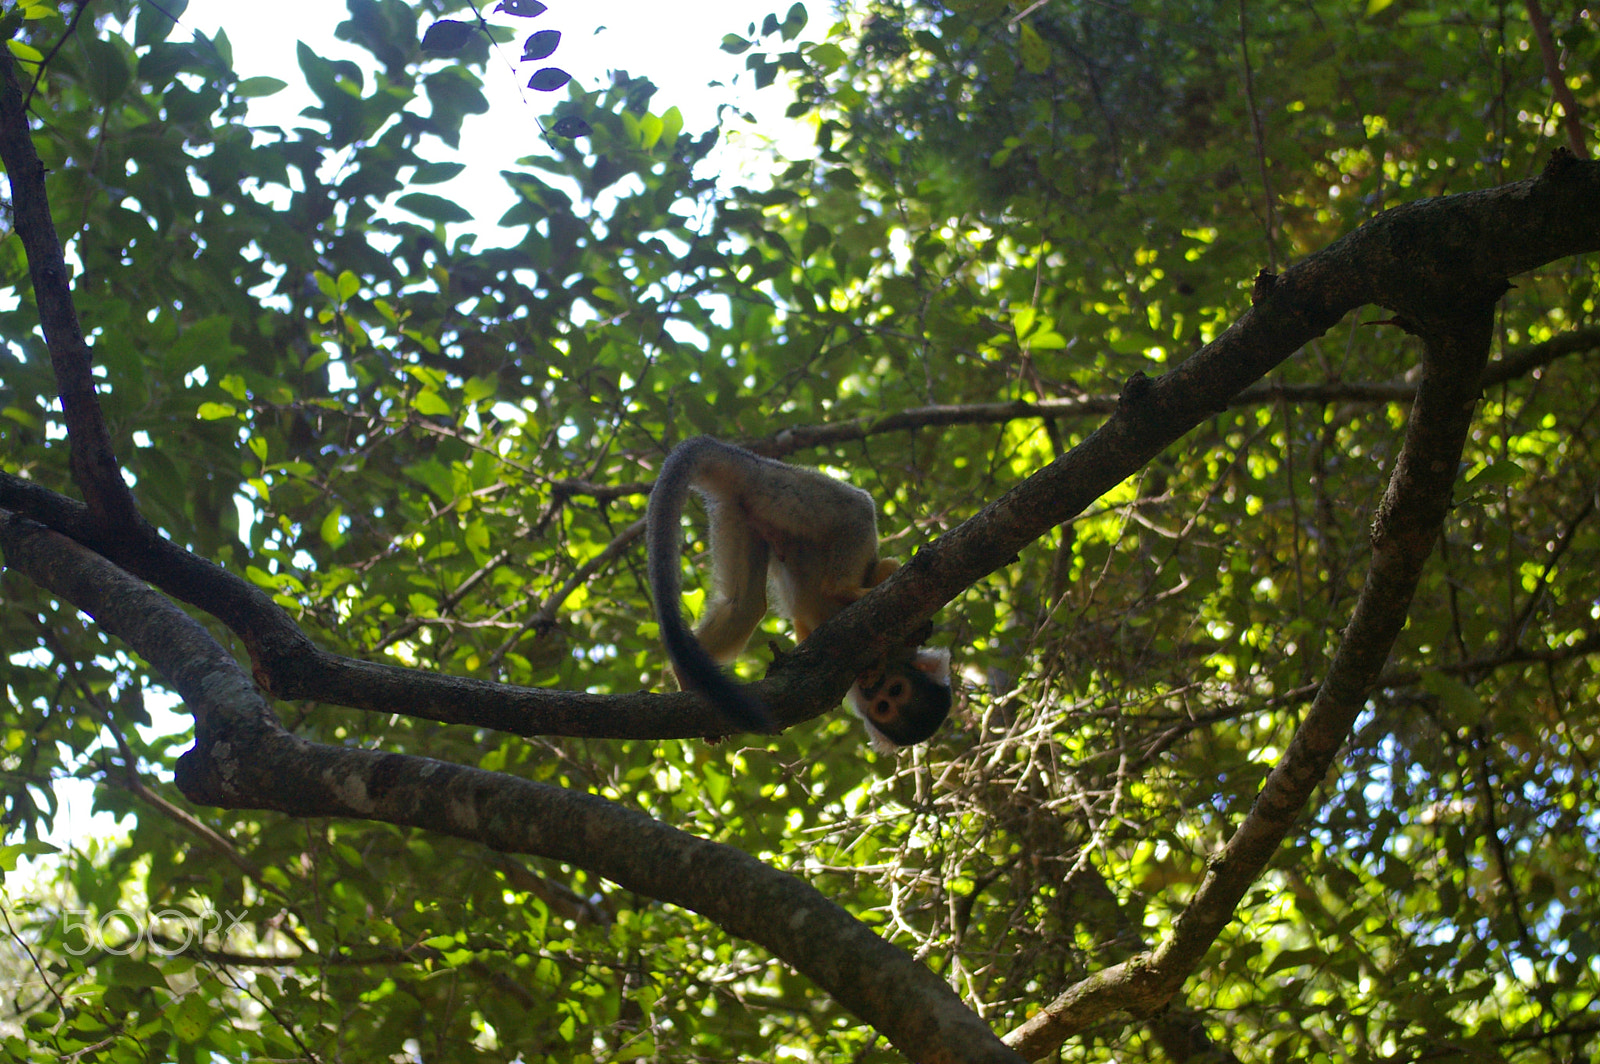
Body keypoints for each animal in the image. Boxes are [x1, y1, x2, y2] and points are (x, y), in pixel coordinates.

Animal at [645, 436, 952, 750]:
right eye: (888, 699)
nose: (878, 692)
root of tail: (754, 463)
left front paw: (872, 668)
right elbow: (886, 569)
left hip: (742, 510)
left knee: (745, 607)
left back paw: (685, 674)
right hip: (788, 489)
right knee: (858, 508)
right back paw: (842, 590)